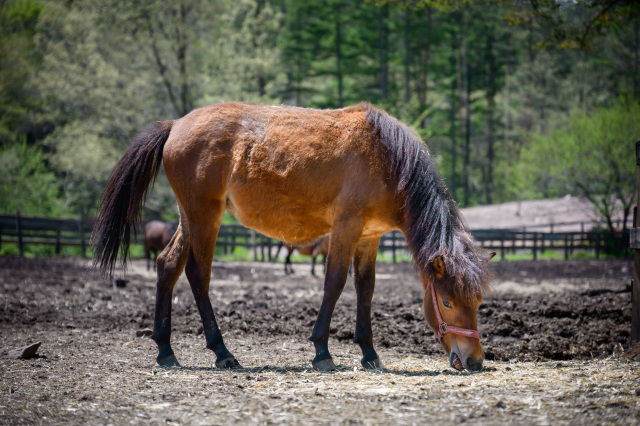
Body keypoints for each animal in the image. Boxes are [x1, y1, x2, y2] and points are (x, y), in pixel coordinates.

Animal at [92, 102, 494, 372]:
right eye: (447, 302)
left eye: (477, 303)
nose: (473, 360)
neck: (387, 159)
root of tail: (176, 124)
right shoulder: (345, 228)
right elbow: (334, 282)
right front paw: (322, 351)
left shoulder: (370, 236)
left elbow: (365, 289)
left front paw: (369, 353)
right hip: (205, 217)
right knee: (197, 274)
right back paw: (222, 352)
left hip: (189, 218)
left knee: (168, 266)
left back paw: (166, 351)